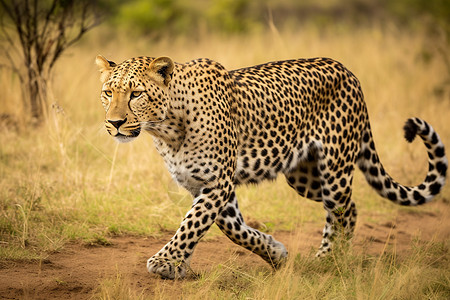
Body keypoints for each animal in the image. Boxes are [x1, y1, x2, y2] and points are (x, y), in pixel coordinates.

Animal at [94, 55, 446, 280]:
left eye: (136, 93)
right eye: (108, 92)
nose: (114, 123)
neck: (166, 128)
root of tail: (348, 71)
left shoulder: (217, 183)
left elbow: (193, 223)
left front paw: (165, 261)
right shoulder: (206, 186)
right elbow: (233, 229)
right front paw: (275, 252)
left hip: (335, 167)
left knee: (340, 209)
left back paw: (329, 259)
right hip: (304, 176)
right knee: (351, 207)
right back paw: (336, 255)